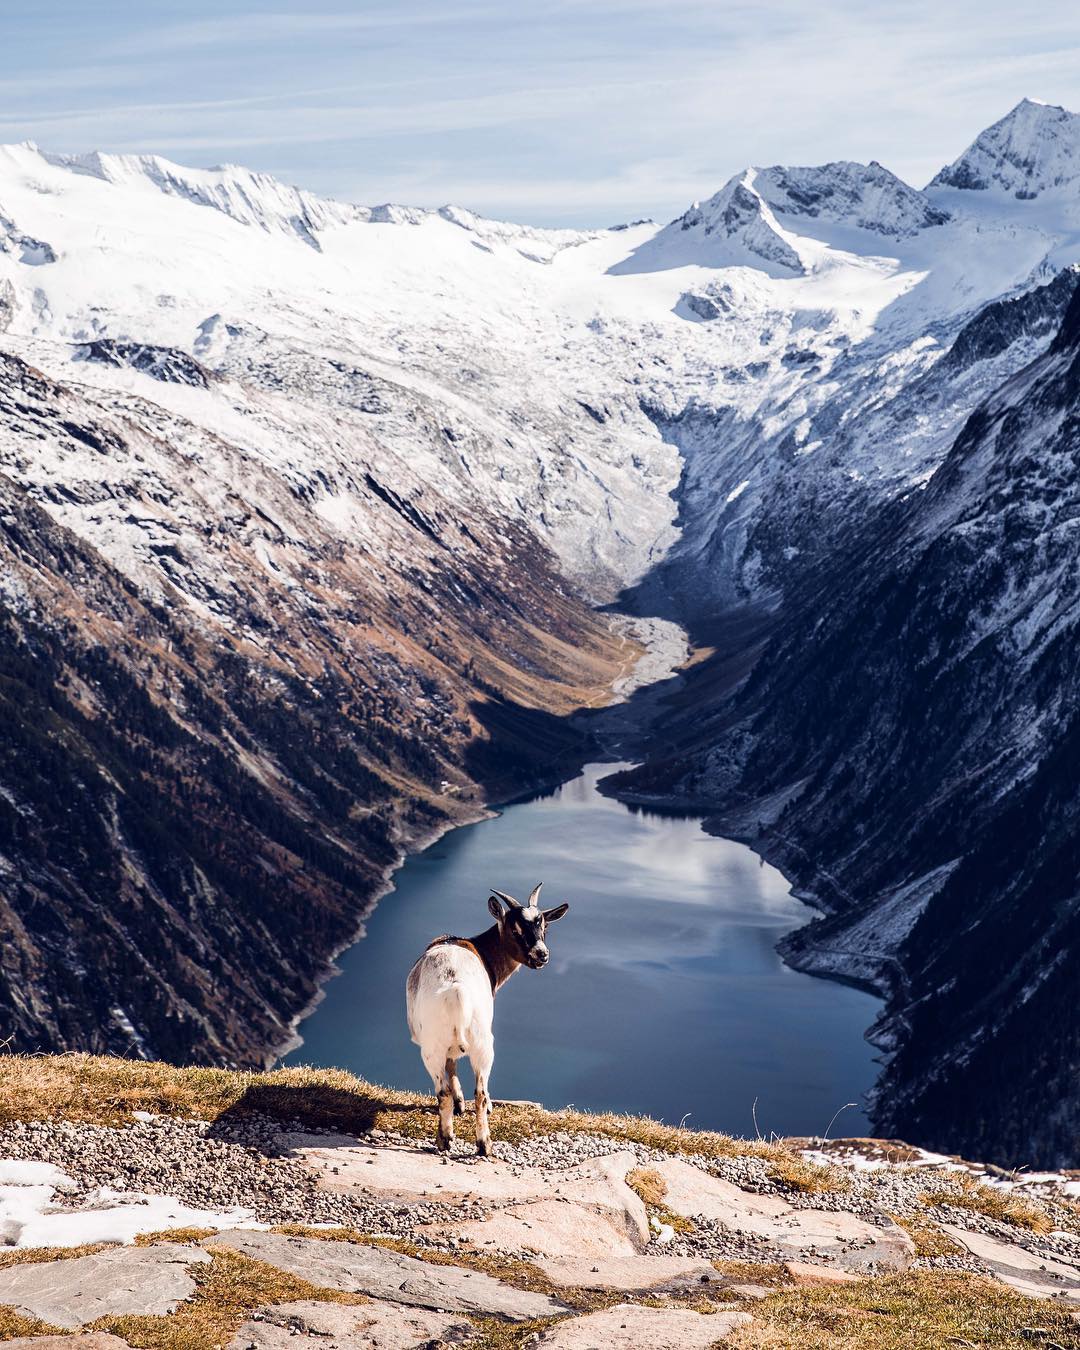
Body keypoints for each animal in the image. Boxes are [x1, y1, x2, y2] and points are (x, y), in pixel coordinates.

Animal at [405, 880, 569, 1155]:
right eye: (514, 929)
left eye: (544, 926)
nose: (541, 955)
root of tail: (456, 988)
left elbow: (452, 1067)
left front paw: (459, 1104)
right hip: (480, 1042)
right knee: (478, 1092)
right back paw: (482, 1144)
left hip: (435, 1046)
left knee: (446, 1091)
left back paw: (447, 1139)